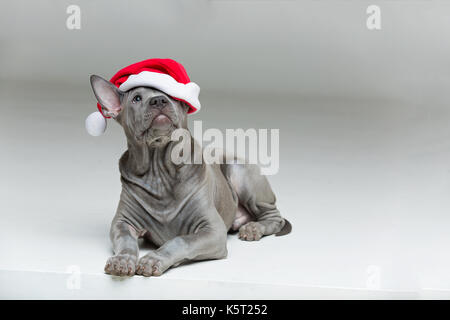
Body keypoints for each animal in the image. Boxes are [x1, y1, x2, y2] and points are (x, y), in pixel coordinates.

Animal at [90, 74, 292, 276]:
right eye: (136, 98)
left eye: (171, 94)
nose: (158, 100)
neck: (158, 171)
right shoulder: (122, 223)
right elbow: (125, 240)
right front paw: (122, 260)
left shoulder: (212, 230)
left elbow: (181, 241)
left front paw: (154, 259)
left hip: (239, 171)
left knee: (274, 217)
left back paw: (254, 227)